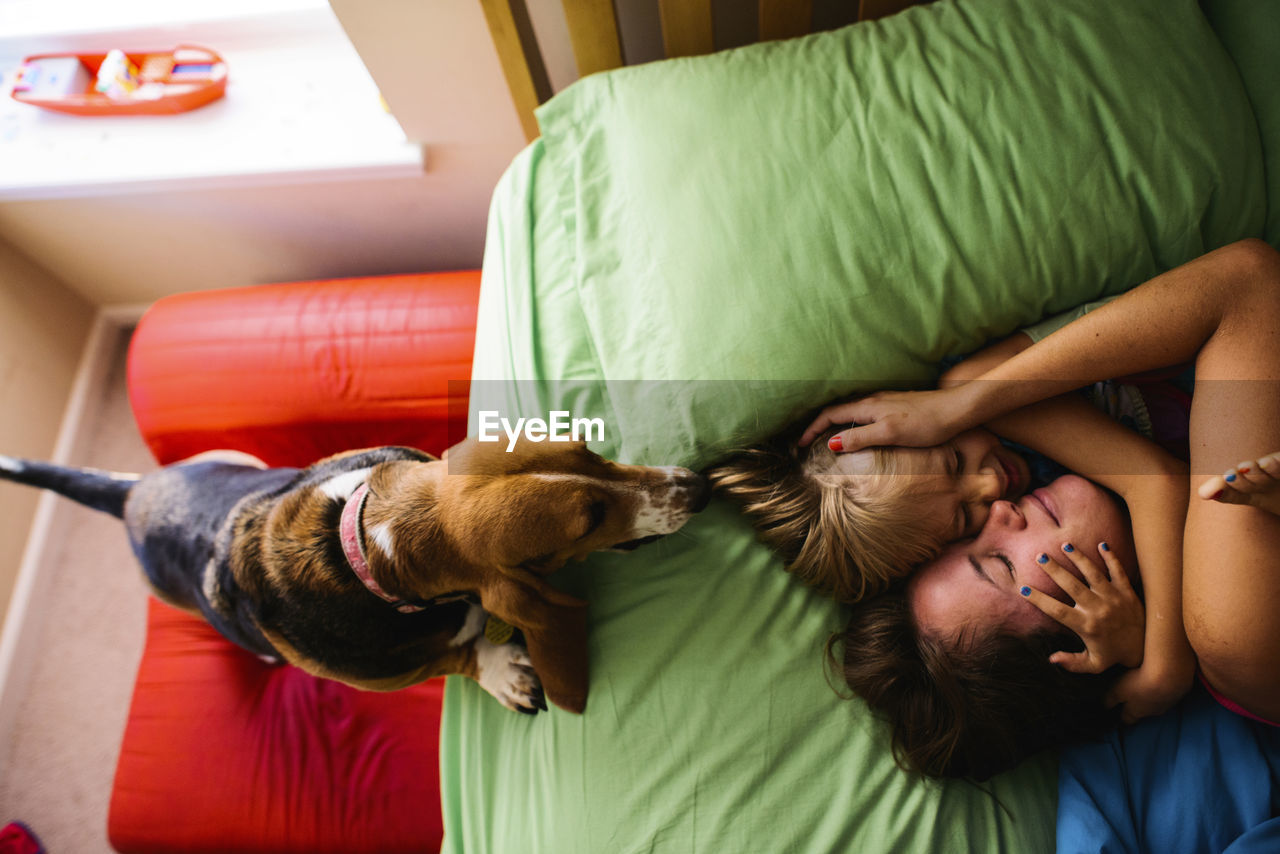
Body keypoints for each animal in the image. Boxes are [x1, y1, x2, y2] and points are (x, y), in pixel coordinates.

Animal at [0, 437, 711, 711]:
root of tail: (131, 495)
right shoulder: (390, 674)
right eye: (589, 521)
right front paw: (501, 671)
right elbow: (452, 658)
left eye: (589, 450)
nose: (699, 486)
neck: (370, 544)